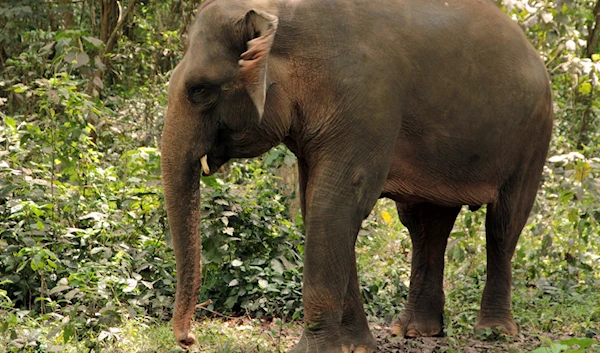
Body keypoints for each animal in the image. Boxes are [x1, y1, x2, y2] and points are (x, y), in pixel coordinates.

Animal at [161, 0, 552, 350]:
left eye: (199, 90)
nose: (188, 339)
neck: (281, 13)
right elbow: (316, 204)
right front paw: (355, 346)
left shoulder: (367, 103)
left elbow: (336, 202)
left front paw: (315, 350)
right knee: (425, 227)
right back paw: (414, 331)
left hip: (533, 134)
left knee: (503, 223)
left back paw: (495, 332)